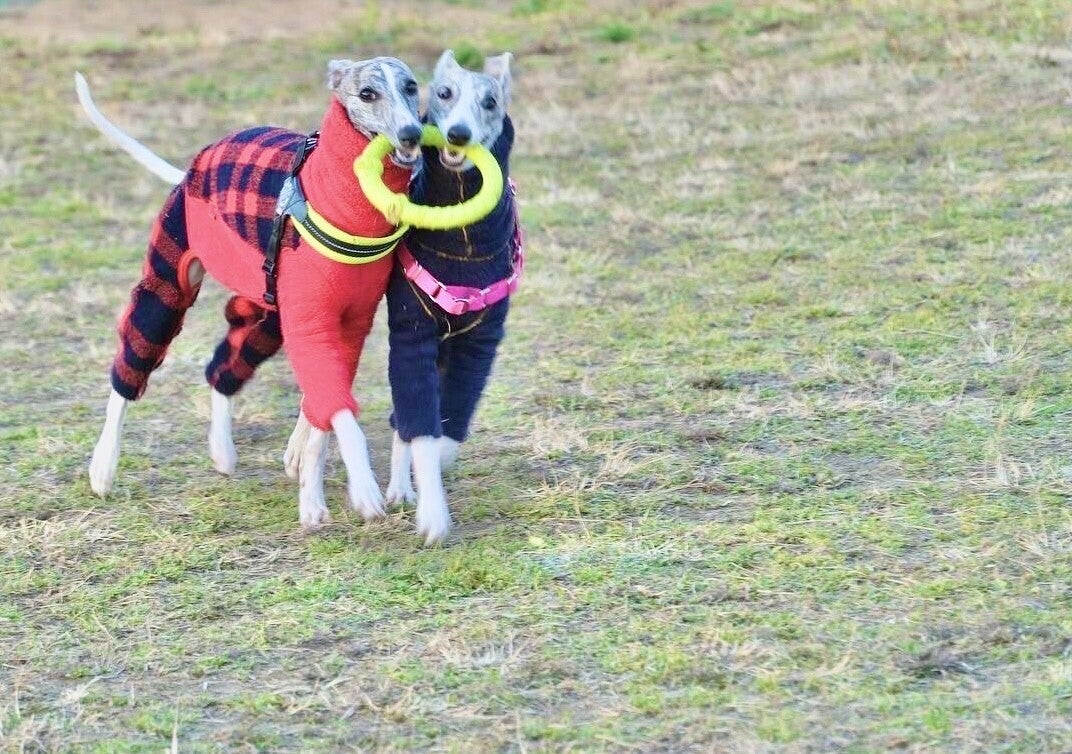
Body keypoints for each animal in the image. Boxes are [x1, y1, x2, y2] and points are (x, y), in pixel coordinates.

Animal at [80, 58, 423, 531]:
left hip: (267, 313)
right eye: (367, 94)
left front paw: (309, 486)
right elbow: (341, 417)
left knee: (223, 365)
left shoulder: (350, 323)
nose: (411, 134)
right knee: (131, 367)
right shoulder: (311, 325)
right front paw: (362, 490)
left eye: (412, 87)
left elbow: (323, 413)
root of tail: (190, 170)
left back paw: (225, 450)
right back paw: (103, 467)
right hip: (169, 286)